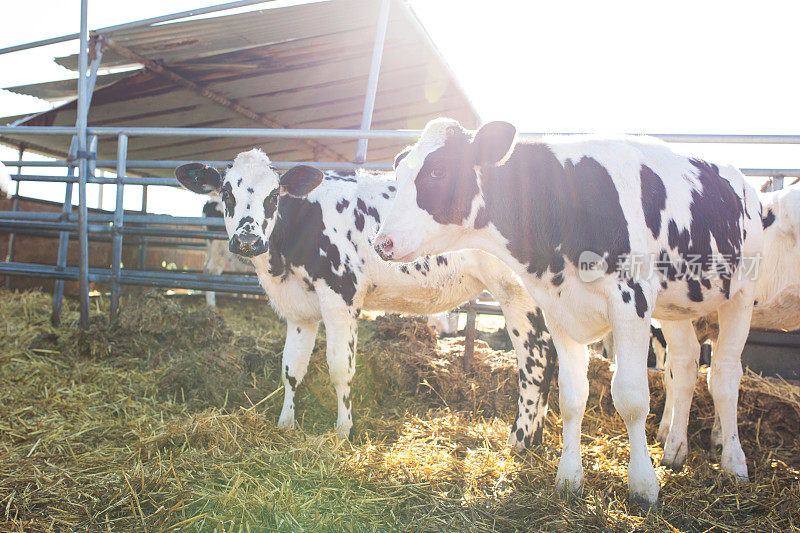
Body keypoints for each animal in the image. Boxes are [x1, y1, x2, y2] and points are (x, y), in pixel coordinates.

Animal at [175, 149, 552, 444]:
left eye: (273, 196)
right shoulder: (299, 310)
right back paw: (538, 434)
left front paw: (343, 431)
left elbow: (340, 367)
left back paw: (521, 439)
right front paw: (285, 423)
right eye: (227, 193)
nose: (248, 240)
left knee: (537, 359)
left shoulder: (340, 294)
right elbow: (291, 369)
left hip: (517, 290)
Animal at [376, 118, 764, 504]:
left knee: (725, 376)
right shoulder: (558, 309)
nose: (382, 243)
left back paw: (733, 462)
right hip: (676, 307)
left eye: (437, 171)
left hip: (743, 293)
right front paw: (569, 478)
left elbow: (631, 397)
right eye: (398, 173)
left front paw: (643, 485)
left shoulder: (632, 300)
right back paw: (675, 451)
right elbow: (572, 396)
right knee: (684, 367)